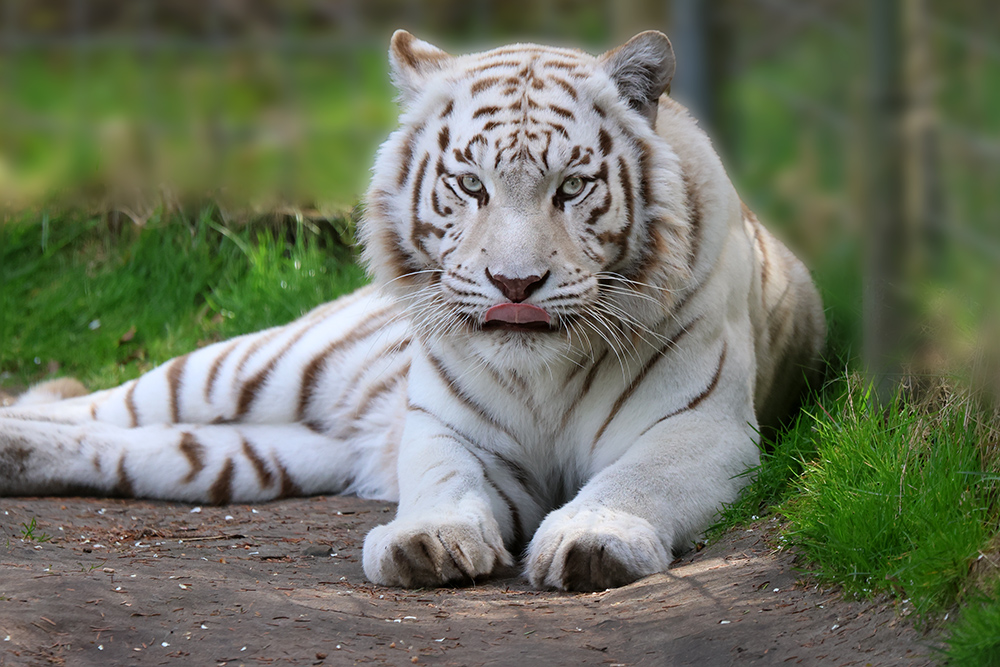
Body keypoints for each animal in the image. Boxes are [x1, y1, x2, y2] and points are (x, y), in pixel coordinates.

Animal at [0, 31, 824, 592]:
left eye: (572, 186)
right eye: (470, 183)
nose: (515, 283)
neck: (545, 376)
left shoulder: (699, 427)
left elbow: (636, 480)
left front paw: (592, 539)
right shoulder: (449, 429)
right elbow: (444, 481)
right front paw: (424, 541)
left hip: (256, 456)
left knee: (145, 446)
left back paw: (16, 455)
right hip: (248, 367)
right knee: (101, 403)